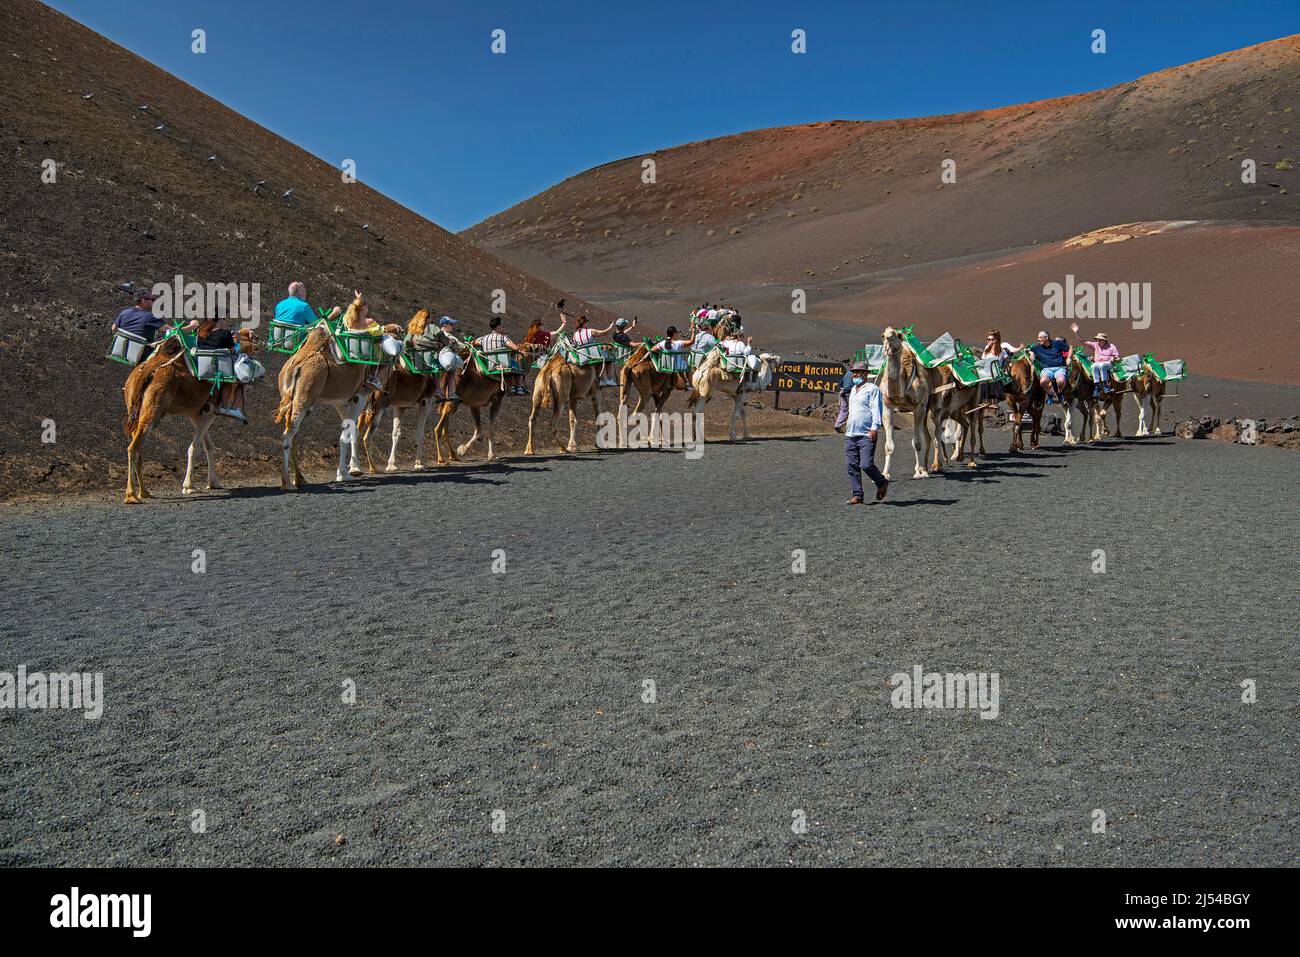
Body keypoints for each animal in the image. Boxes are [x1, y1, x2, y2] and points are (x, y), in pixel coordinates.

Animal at [271, 289, 397, 486]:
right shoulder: (359, 398)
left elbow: (349, 432)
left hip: (294, 398)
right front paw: (347, 472)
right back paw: (287, 482)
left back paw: (300, 478)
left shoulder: (342, 402)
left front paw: (349, 470)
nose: (397, 328)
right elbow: (348, 433)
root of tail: (295, 368)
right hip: (305, 397)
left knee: (293, 434)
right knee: (287, 436)